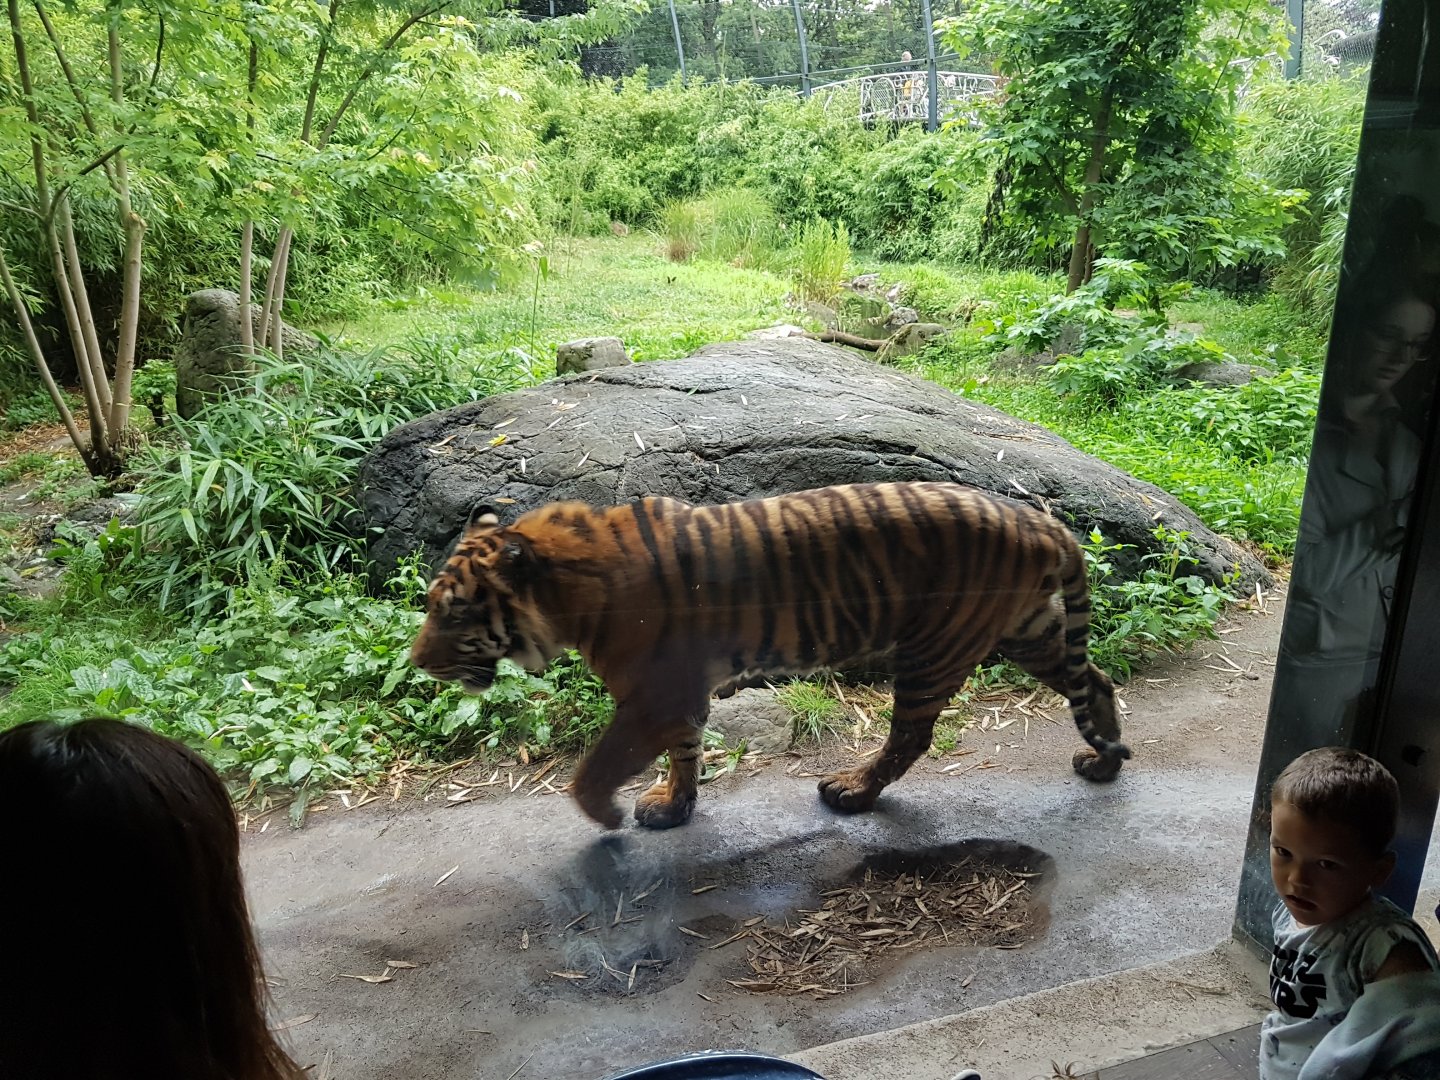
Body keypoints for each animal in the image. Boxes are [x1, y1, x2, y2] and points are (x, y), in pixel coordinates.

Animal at [410, 481, 1130, 830]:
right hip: (1029, 631)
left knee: (910, 737)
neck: (569, 590)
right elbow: (685, 752)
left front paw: (607, 813)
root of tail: (1041, 521)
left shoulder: (652, 693)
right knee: (1094, 680)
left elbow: (597, 766)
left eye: (453, 612)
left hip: (935, 649)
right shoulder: (677, 692)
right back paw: (1103, 762)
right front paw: (674, 805)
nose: (417, 662)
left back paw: (852, 790)